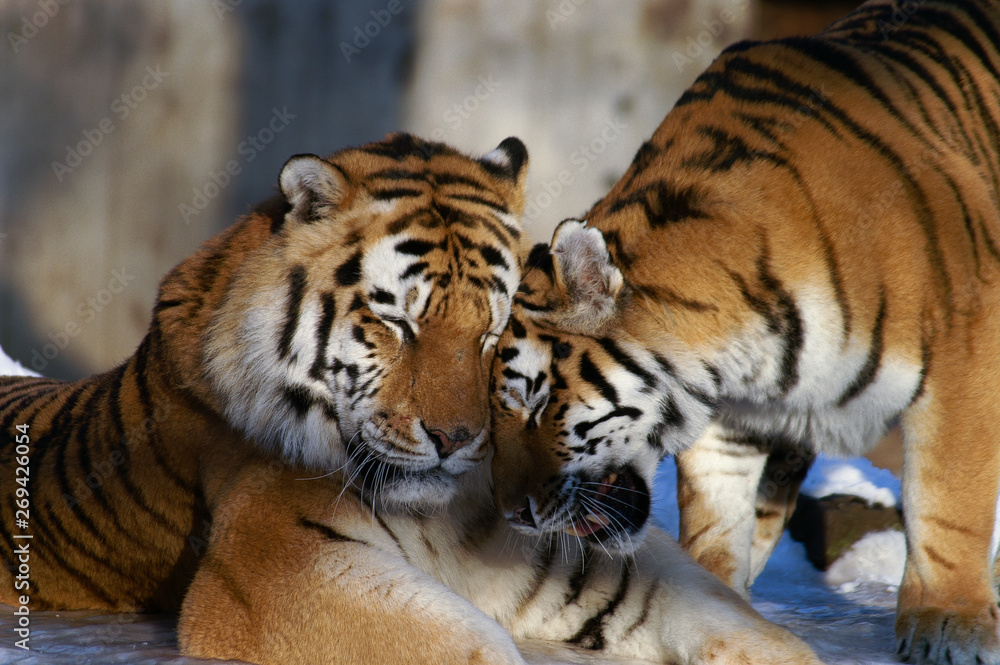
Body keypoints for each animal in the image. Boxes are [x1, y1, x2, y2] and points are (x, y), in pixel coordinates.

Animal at [489, 1, 1000, 663]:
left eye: (534, 400)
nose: (514, 516)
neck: (736, 358)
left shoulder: (965, 360)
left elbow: (946, 506)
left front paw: (951, 625)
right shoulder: (731, 422)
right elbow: (717, 521)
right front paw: (709, 599)